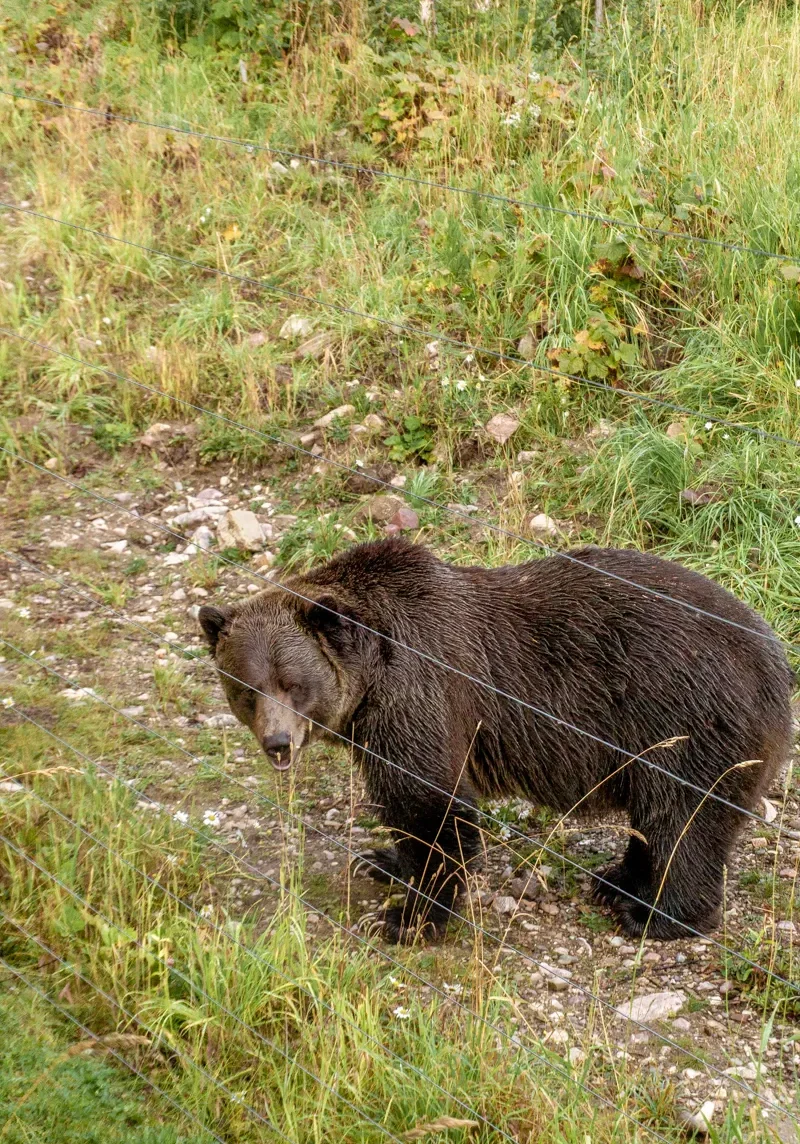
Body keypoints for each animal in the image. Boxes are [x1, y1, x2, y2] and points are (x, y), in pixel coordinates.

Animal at [198, 537, 792, 944]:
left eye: (293, 683)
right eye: (248, 688)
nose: (278, 742)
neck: (368, 681)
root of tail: (776, 660)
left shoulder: (420, 699)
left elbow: (432, 807)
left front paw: (408, 918)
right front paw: (383, 860)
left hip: (685, 722)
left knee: (683, 822)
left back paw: (653, 913)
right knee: (658, 822)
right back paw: (618, 880)